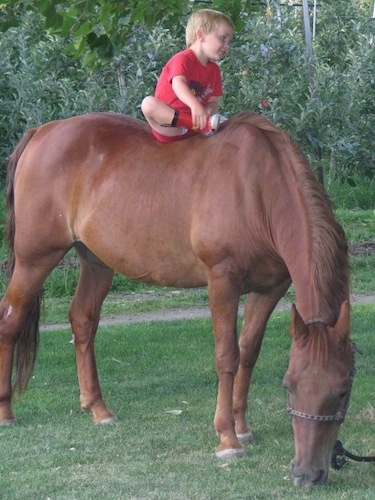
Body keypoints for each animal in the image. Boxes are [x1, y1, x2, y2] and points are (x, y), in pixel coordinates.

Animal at [0, 112, 352, 484]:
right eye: (289, 386)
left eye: (343, 391)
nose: (308, 474)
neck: (258, 190)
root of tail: (41, 132)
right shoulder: (222, 282)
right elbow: (227, 356)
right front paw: (227, 438)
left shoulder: (270, 289)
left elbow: (248, 352)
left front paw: (242, 427)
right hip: (36, 259)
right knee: (11, 319)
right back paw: (6, 411)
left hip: (96, 262)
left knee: (82, 319)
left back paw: (98, 409)